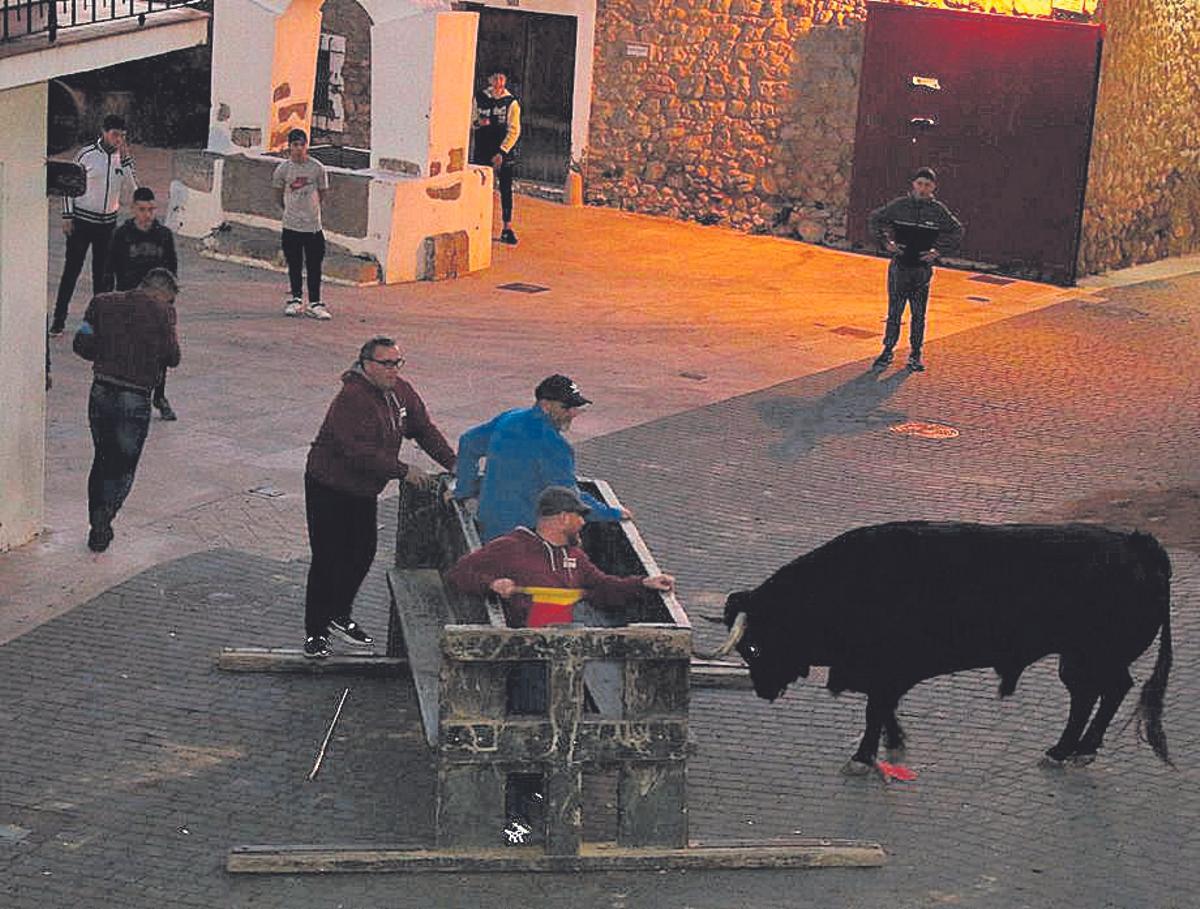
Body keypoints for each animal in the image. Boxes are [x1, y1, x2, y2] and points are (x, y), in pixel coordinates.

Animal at [710, 522, 1171, 772]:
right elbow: (884, 709)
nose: (763, 691)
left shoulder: (886, 670)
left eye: (754, 648)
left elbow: (875, 711)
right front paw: (894, 742)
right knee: (1096, 694)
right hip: (1081, 658)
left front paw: (863, 756)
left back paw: (1071, 751)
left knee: (1104, 692)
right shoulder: (886, 675)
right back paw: (1071, 750)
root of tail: (1137, 545)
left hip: (1092, 656)